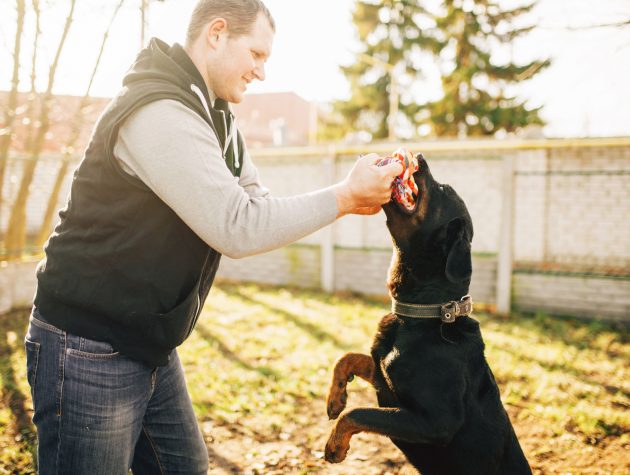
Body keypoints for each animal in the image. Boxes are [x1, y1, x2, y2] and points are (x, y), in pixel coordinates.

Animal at [326, 154, 532, 474]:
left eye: (443, 189)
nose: (420, 157)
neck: (423, 314)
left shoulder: (435, 422)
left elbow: (359, 412)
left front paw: (335, 445)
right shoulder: (383, 377)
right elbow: (347, 358)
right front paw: (336, 398)